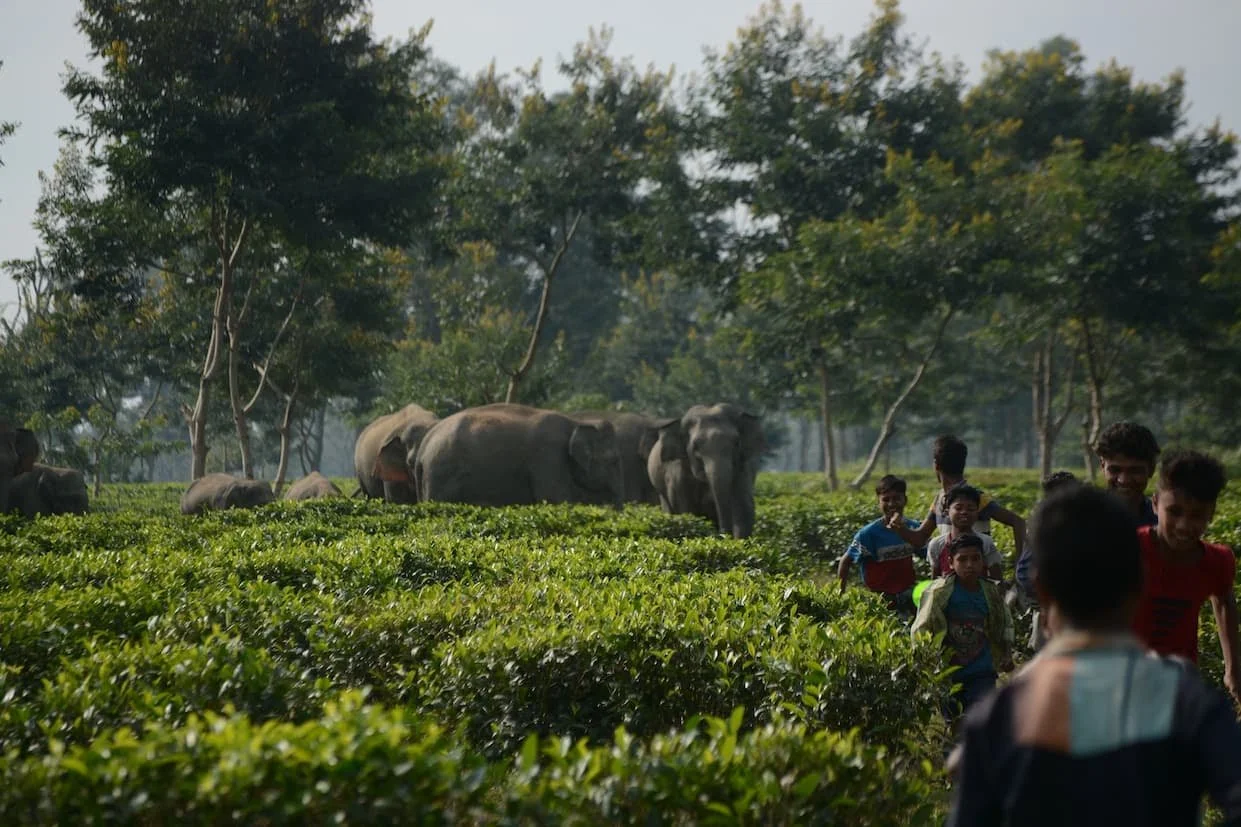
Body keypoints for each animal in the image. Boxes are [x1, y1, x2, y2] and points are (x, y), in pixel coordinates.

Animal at [414, 403, 624, 508]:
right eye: (613, 461)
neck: (576, 422)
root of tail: (424, 444)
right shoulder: (548, 457)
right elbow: (554, 499)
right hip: (441, 472)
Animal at [647, 404, 766, 539]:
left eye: (736, 442)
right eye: (695, 446)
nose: (724, 535)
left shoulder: (743, 470)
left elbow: (744, 507)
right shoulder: (677, 474)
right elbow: (686, 510)